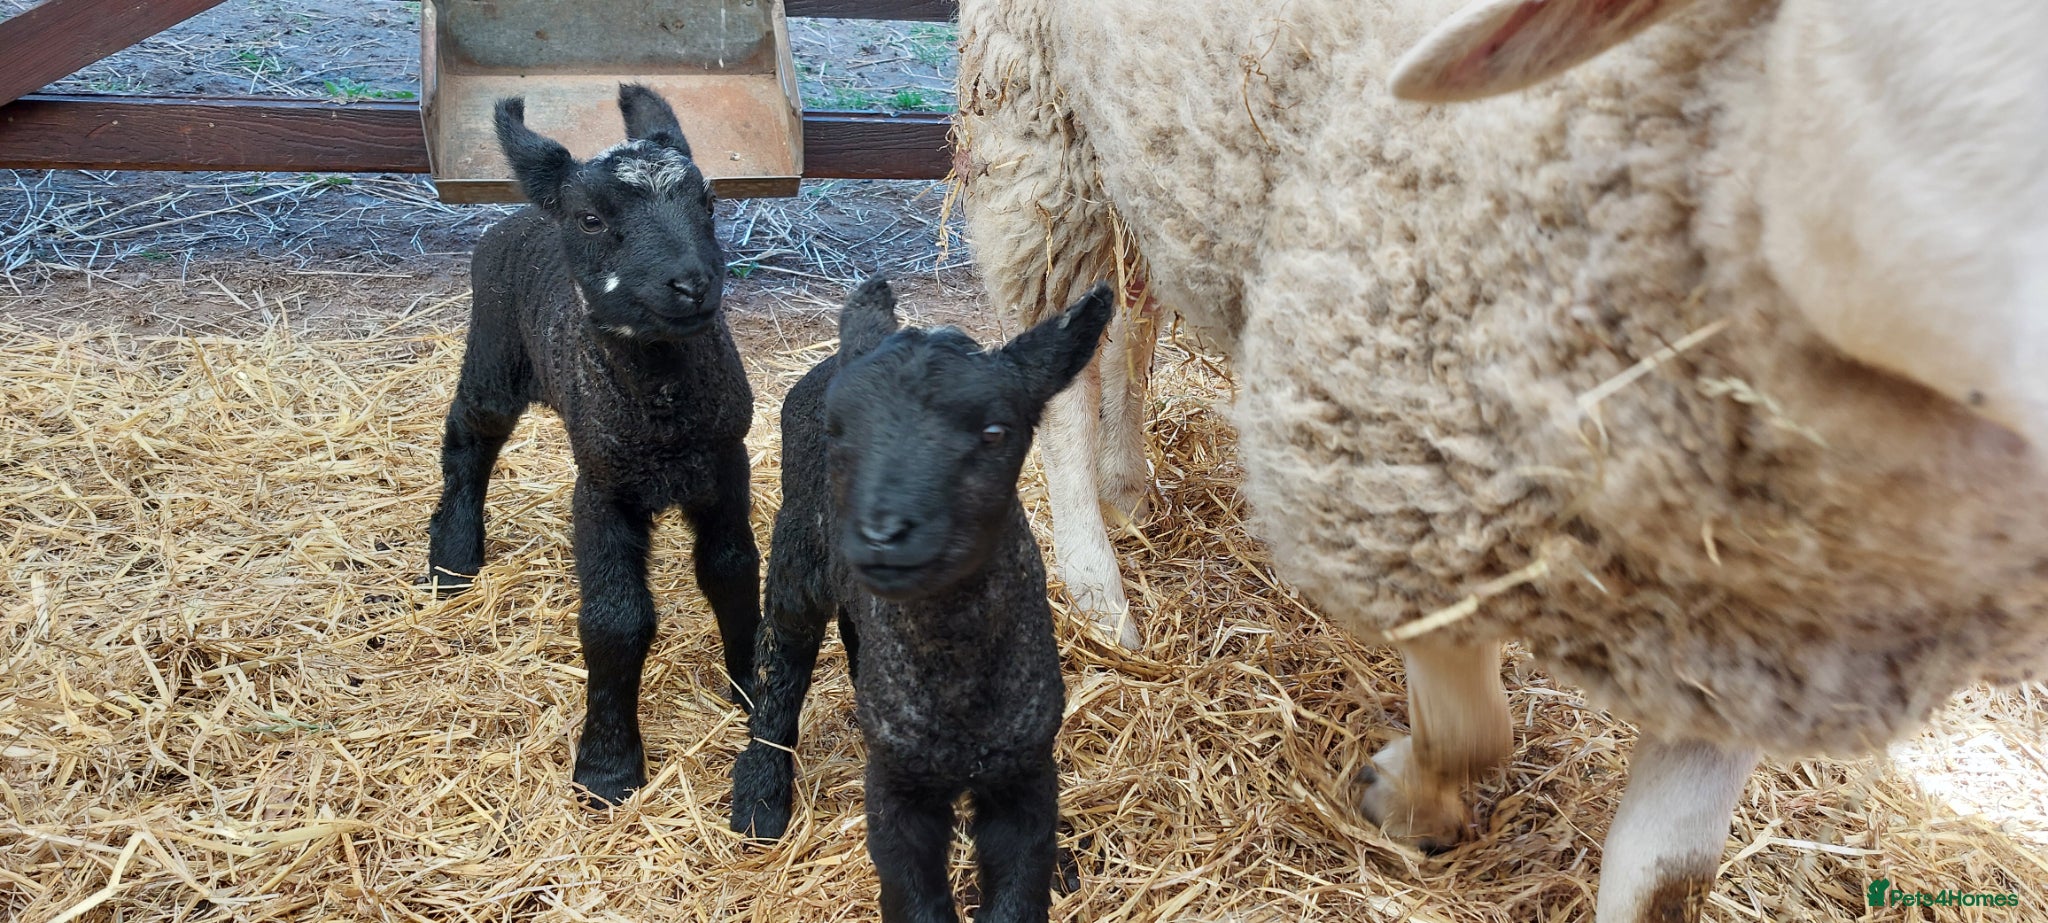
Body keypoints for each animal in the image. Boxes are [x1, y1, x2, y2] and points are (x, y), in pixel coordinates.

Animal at [424, 85, 759, 807]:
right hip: (494, 346)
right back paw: (453, 555)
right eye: (590, 219)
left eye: (708, 202)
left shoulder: (725, 466)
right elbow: (615, 619)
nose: (692, 283)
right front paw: (607, 767)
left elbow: (733, 573)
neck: (663, 414)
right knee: (469, 436)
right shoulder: (604, 487)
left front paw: (754, 689)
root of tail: (520, 214)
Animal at [729, 278, 1111, 923]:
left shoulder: (1026, 771)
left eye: (994, 433)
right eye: (838, 431)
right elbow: (912, 895)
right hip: (798, 547)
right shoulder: (896, 790)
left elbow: (1018, 889)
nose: (884, 534)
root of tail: (837, 355)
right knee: (780, 657)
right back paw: (759, 798)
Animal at [952, 1, 2048, 920]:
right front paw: (1407, 799)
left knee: (1132, 306)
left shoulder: (1765, 629)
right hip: (1035, 106)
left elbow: (1667, 874)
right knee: (1053, 342)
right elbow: (1473, 726)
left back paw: (1130, 485)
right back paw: (1099, 593)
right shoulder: (1390, 455)